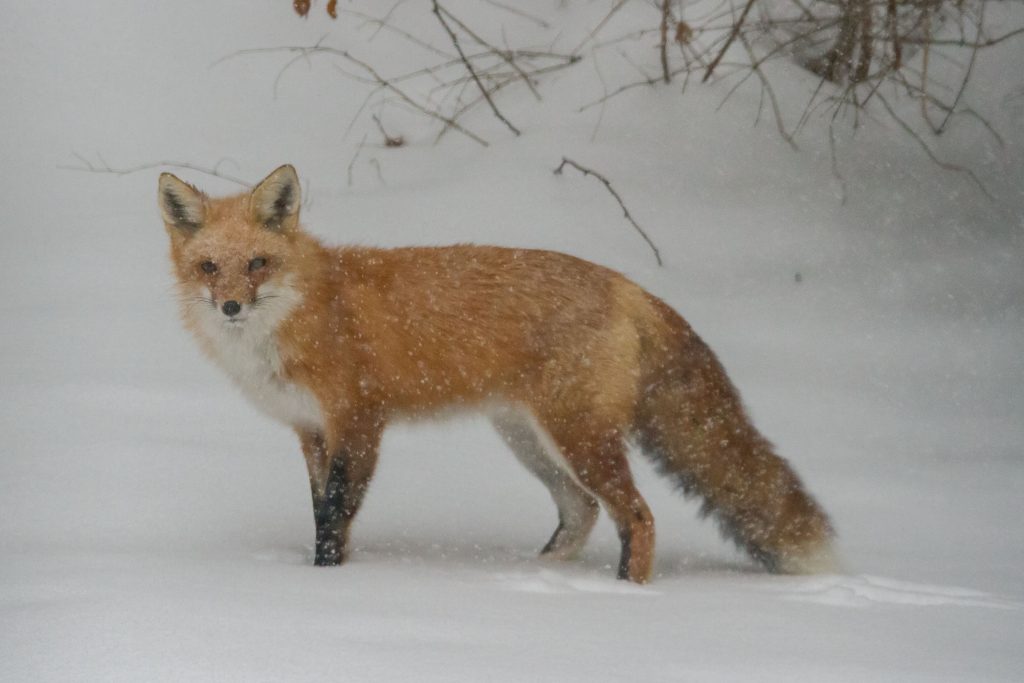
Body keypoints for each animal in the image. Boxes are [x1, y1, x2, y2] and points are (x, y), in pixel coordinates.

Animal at [158, 164, 837, 583]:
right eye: (210, 267)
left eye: (258, 263)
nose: (230, 307)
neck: (302, 313)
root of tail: (627, 284)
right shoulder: (310, 431)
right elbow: (321, 512)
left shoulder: (358, 422)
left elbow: (334, 517)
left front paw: (327, 582)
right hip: (528, 439)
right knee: (582, 512)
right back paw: (534, 577)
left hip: (577, 436)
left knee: (638, 516)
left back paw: (624, 595)